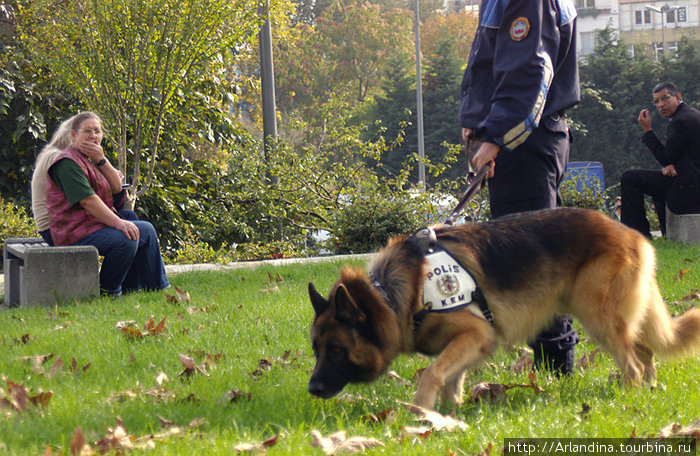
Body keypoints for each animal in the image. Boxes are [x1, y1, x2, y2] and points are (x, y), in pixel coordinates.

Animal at [308, 208, 700, 408]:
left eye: (337, 349)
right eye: (316, 349)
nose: (312, 388)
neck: (391, 297)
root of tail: (633, 235)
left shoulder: (475, 334)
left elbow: (434, 373)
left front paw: (420, 413)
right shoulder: (470, 343)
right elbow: (452, 380)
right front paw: (449, 417)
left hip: (598, 319)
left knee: (632, 363)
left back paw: (627, 399)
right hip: (612, 320)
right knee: (645, 352)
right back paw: (650, 390)